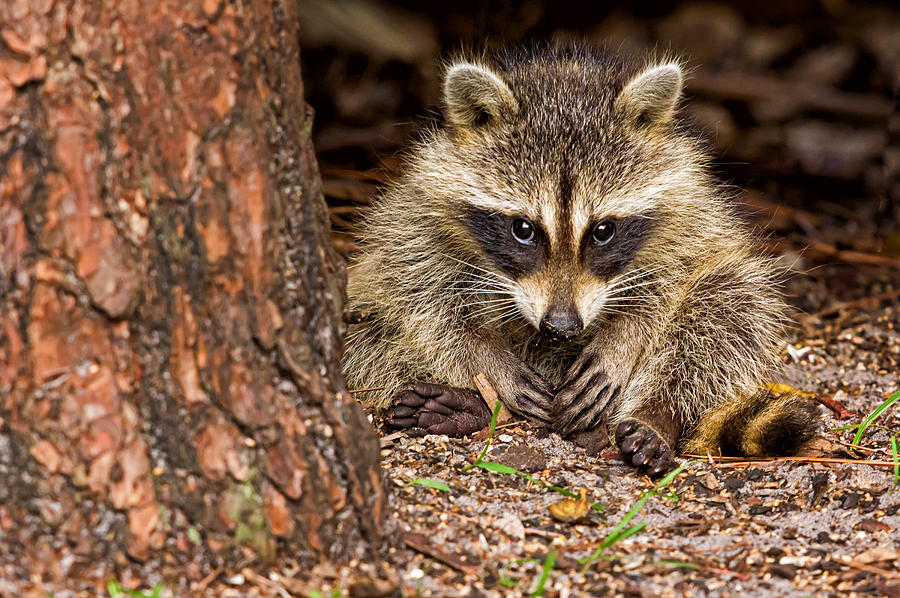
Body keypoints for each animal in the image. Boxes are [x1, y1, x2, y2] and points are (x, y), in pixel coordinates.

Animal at [342, 43, 820, 478]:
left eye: (602, 231)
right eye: (523, 229)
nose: (562, 326)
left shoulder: (690, 211)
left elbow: (676, 279)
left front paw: (625, 338)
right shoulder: (416, 214)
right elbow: (421, 294)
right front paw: (486, 359)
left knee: (730, 303)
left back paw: (657, 414)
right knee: (366, 335)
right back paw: (470, 405)